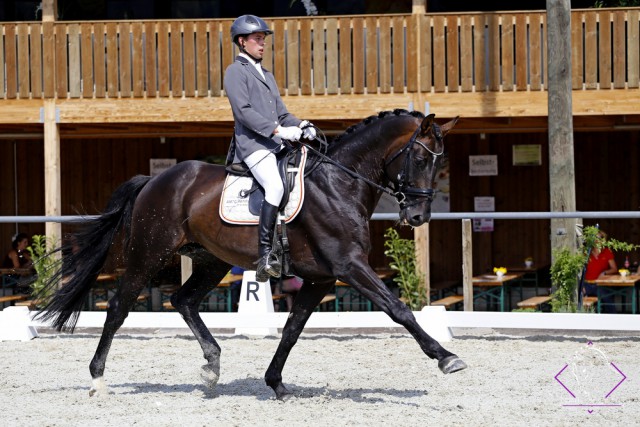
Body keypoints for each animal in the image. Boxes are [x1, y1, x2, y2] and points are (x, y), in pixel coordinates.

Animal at [36, 108, 464, 400]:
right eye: (420, 159)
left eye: (441, 162)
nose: (418, 216)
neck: (339, 183)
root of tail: (154, 180)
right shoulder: (349, 266)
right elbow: (399, 309)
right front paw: (445, 357)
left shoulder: (320, 277)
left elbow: (292, 330)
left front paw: (277, 384)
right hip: (149, 256)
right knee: (118, 308)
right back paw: (97, 379)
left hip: (211, 260)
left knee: (183, 300)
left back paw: (211, 365)